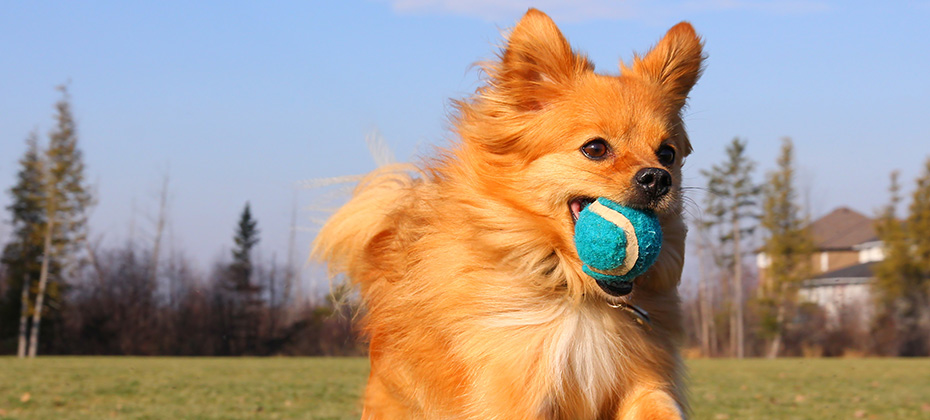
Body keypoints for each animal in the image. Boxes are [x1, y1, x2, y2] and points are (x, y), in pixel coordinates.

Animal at [314, 8, 704, 418]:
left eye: (667, 154)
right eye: (595, 149)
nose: (658, 178)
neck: (576, 294)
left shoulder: (644, 382)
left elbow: (661, 408)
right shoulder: (512, 389)